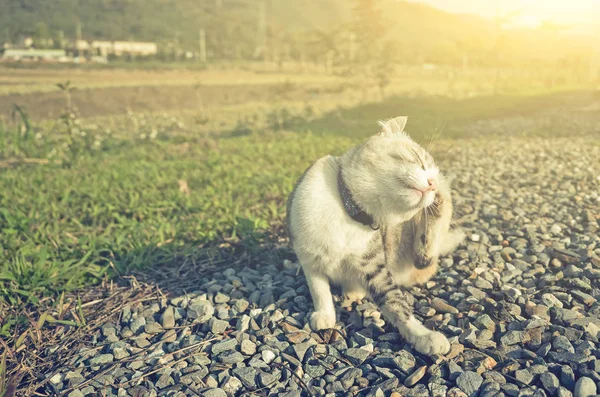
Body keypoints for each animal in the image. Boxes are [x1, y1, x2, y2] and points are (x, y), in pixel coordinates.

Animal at [286, 116, 464, 354]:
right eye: (419, 160)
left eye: (432, 174)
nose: (433, 184)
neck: (349, 213)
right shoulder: (309, 259)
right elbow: (319, 290)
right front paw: (324, 315)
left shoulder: (374, 266)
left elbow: (395, 303)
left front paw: (423, 336)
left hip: (417, 255)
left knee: (425, 255)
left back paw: (439, 206)